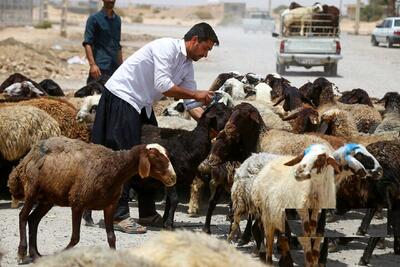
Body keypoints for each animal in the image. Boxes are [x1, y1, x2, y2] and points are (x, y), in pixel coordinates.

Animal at [7, 137, 177, 264]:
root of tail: (29, 155)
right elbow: (75, 238)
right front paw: (61, 254)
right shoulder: (77, 202)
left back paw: (35, 255)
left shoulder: (110, 205)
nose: (173, 178)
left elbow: (111, 237)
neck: (115, 168)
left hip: (47, 198)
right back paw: (22, 253)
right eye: (154, 157)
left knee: (33, 220)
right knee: (23, 216)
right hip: (31, 190)